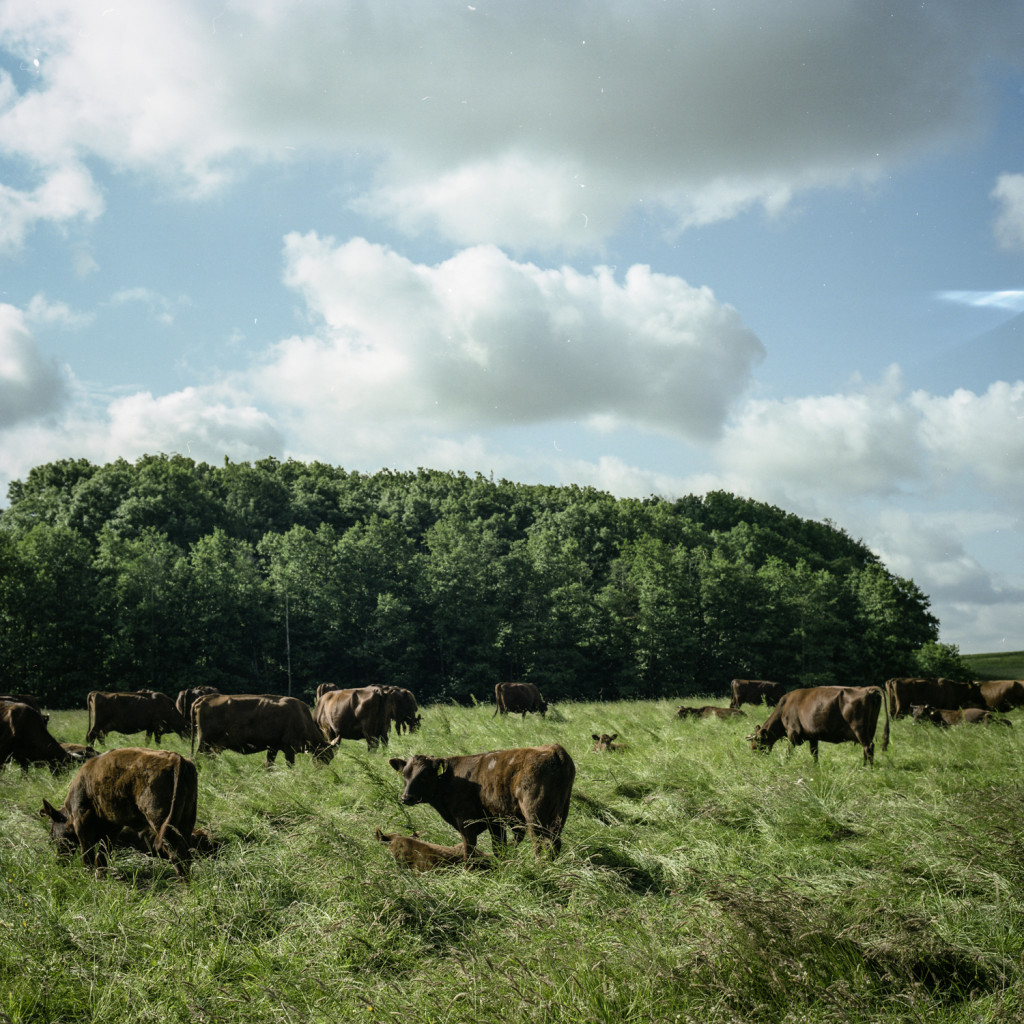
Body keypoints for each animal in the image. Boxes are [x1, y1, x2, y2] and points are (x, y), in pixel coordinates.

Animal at [39, 745, 197, 880]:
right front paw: (101, 877)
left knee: (176, 853)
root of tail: (175, 758)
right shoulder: (112, 827)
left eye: (52, 834)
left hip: (160, 820)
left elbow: (88, 855)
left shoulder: (82, 823)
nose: (60, 861)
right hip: (186, 820)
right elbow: (102, 855)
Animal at [191, 692, 331, 765]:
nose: (321, 769)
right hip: (203, 743)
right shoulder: (289, 750)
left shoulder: (273, 748)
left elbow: (269, 765)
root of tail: (205, 698)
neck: (301, 716)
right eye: (326, 757)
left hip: (211, 747)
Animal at [387, 745, 577, 856]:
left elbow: (469, 851)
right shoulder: (495, 821)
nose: (406, 797)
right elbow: (499, 848)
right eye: (405, 774)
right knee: (555, 843)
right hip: (560, 813)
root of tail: (553, 749)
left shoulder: (466, 822)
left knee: (540, 844)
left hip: (534, 814)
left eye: (425, 775)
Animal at [745, 684, 888, 765]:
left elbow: (788, 751)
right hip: (870, 729)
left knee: (868, 747)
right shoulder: (813, 736)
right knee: (867, 748)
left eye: (756, 742)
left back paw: (867, 768)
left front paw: (785, 764)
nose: (753, 758)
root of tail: (867, 690)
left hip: (859, 728)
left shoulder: (793, 732)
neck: (783, 708)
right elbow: (814, 754)